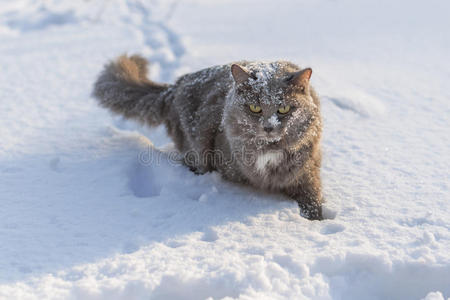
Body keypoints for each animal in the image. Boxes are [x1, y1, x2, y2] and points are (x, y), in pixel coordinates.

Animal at [92, 55, 324, 220]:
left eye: (284, 109)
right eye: (255, 108)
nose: (268, 127)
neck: (269, 151)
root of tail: (174, 87)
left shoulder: (307, 172)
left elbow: (313, 201)